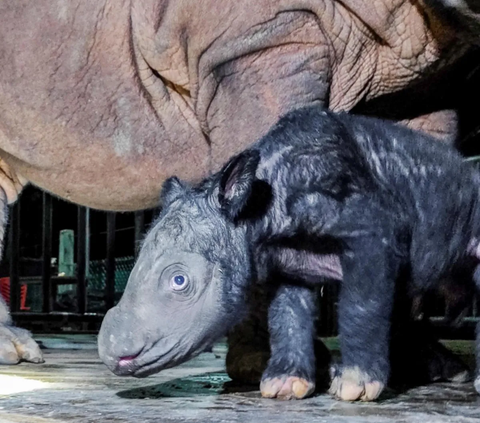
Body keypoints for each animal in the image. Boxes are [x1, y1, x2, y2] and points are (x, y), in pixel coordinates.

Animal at [0, 0, 478, 372]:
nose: (115, 348)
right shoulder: (253, 40)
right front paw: (268, 366)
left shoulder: (431, 77)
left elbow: (423, 192)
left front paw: (427, 365)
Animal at [99, 107, 480, 404]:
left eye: (179, 280)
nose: (110, 349)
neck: (259, 203)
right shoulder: (288, 260)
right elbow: (287, 312)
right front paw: (284, 385)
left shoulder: (372, 230)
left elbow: (362, 302)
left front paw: (354, 386)